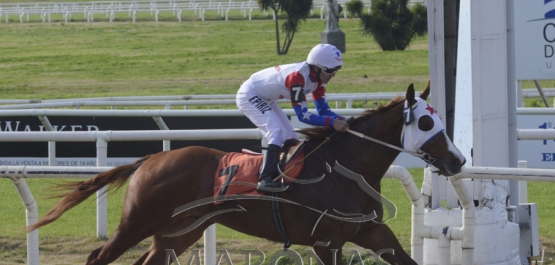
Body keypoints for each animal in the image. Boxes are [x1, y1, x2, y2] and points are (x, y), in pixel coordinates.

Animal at [28, 83, 466, 264]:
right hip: (138, 221)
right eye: (426, 123)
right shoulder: (326, 242)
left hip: (178, 232)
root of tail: (149, 160)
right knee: (98, 256)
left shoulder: (372, 232)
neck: (343, 170)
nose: (459, 161)